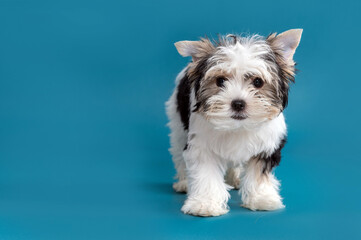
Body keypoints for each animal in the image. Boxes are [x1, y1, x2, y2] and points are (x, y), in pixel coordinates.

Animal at [165, 29, 300, 217]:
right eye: (220, 81)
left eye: (258, 82)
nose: (238, 103)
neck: (238, 126)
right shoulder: (202, 145)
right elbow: (206, 173)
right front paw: (204, 204)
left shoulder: (266, 144)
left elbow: (259, 173)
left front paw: (261, 198)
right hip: (177, 120)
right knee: (178, 150)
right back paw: (184, 182)